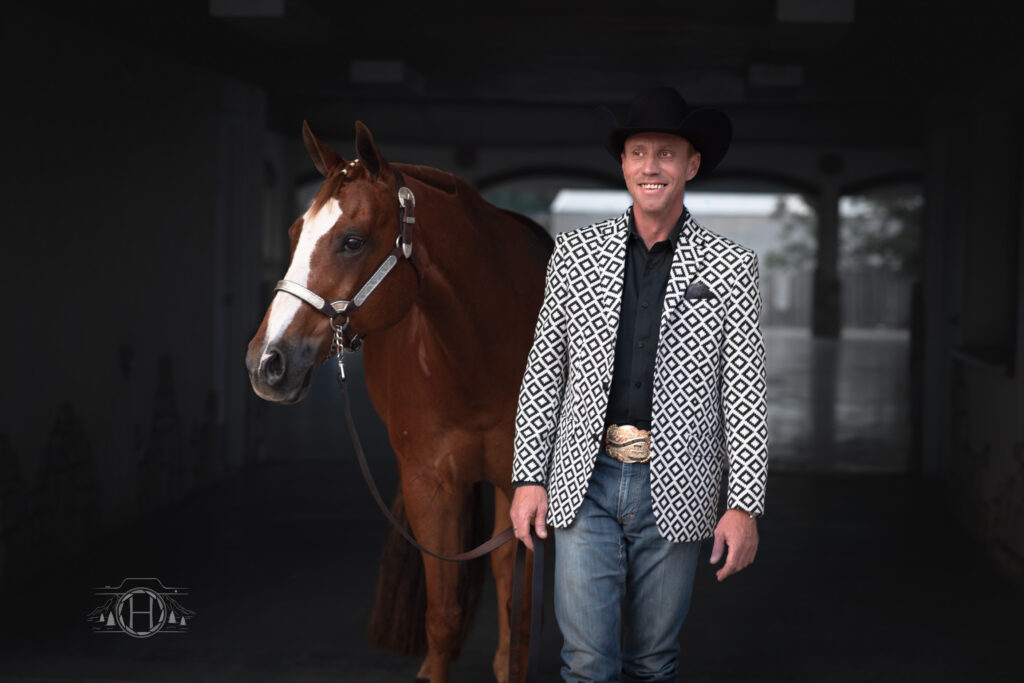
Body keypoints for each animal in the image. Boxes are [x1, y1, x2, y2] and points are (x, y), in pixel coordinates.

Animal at [243, 120, 552, 679]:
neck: (479, 357)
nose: (266, 362)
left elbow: (517, 609)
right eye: (296, 233)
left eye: (352, 241)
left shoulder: (528, 492)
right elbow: (443, 616)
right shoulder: (428, 483)